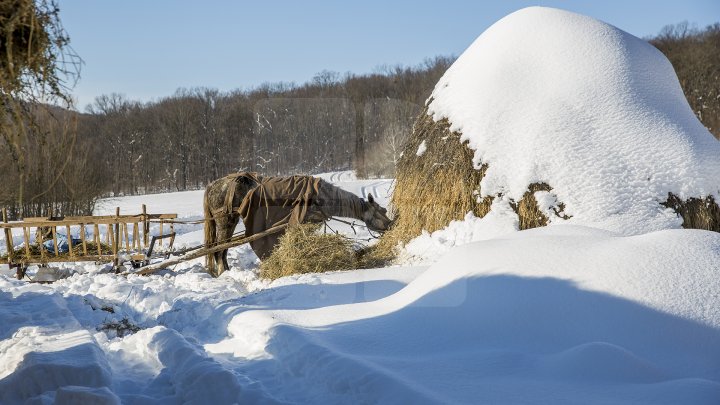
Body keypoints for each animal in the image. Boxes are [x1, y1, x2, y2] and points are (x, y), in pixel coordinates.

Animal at [202, 172, 394, 276]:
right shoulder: (300, 225)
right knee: (219, 250)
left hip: (231, 221)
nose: (392, 224)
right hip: (224, 221)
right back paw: (223, 272)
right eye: (382, 211)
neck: (321, 197)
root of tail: (212, 186)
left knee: (223, 250)